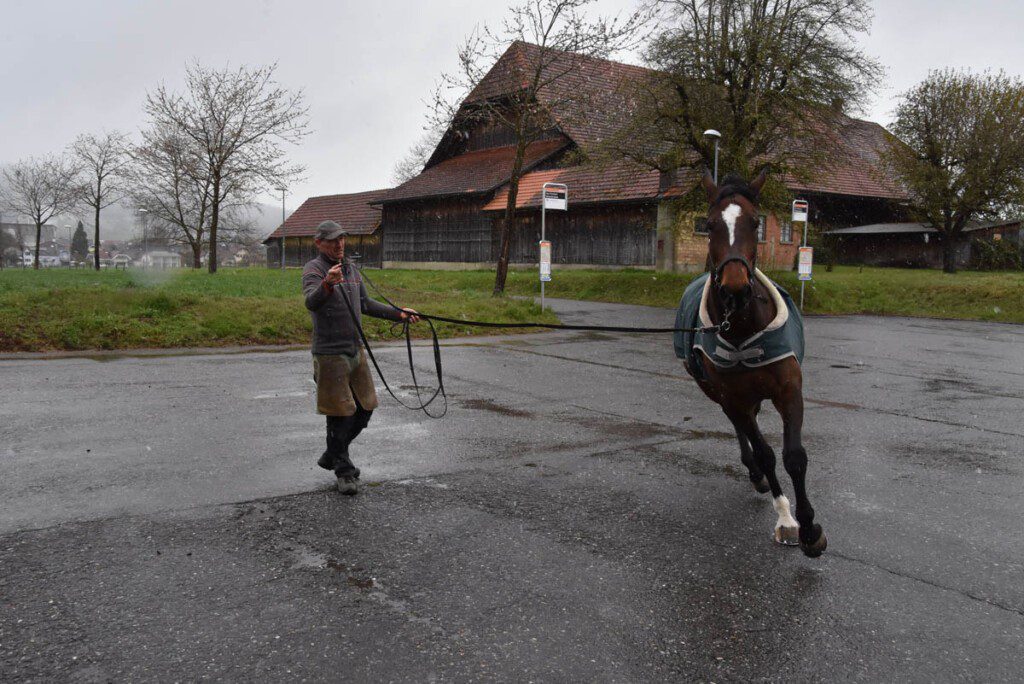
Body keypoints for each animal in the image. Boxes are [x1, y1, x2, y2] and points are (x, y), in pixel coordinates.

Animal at [675, 169, 827, 557]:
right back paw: (756, 474)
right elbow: (767, 452)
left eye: (756, 222)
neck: (743, 327)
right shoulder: (734, 397)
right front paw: (788, 519)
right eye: (710, 224)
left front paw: (810, 529)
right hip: (720, 395)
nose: (735, 288)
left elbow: (794, 457)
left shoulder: (789, 391)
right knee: (742, 428)